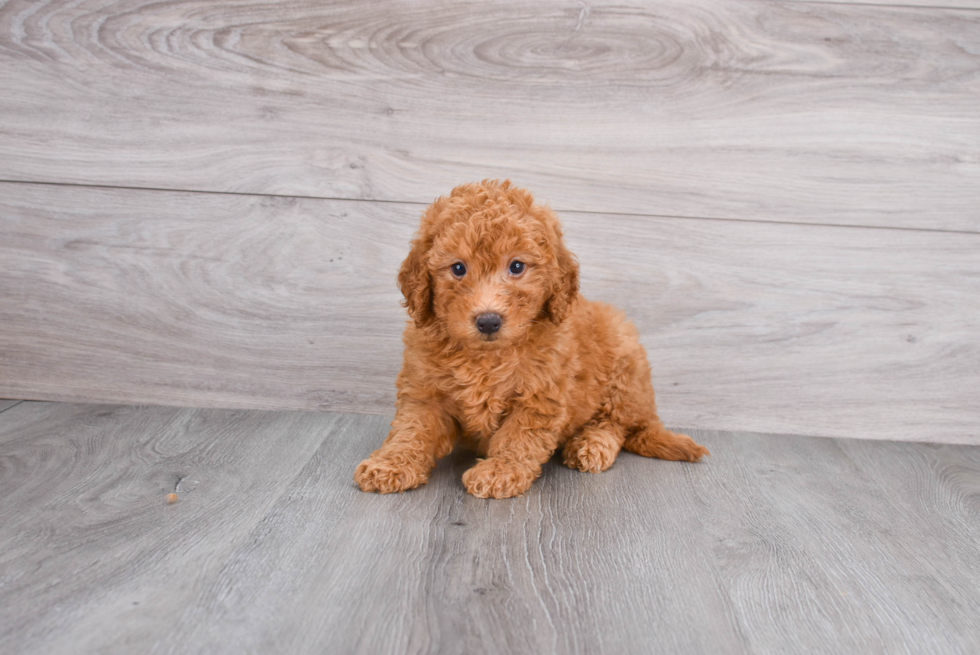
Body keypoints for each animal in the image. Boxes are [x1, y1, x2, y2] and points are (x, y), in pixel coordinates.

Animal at [356, 179, 708, 498]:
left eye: (516, 266)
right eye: (458, 268)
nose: (488, 320)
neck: (485, 357)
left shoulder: (539, 396)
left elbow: (518, 437)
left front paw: (500, 471)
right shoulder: (425, 391)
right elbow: (412, 429)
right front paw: (391, 464)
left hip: (625, 368)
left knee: (616, 423)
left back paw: (592, 445)